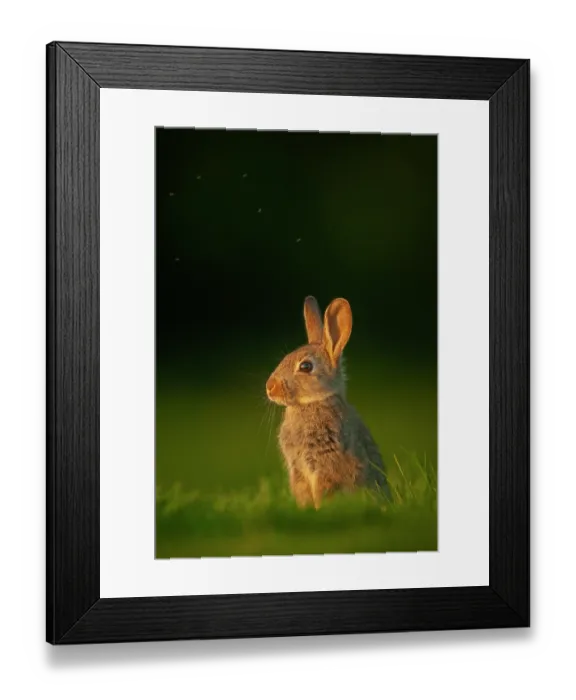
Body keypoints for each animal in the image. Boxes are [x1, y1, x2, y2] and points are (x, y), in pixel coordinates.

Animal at [266, 296, 391, 509]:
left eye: (306, 366)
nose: (269, 387)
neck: (311, 403)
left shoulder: (325, 463)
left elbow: (323, 491)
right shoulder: (298, 470)